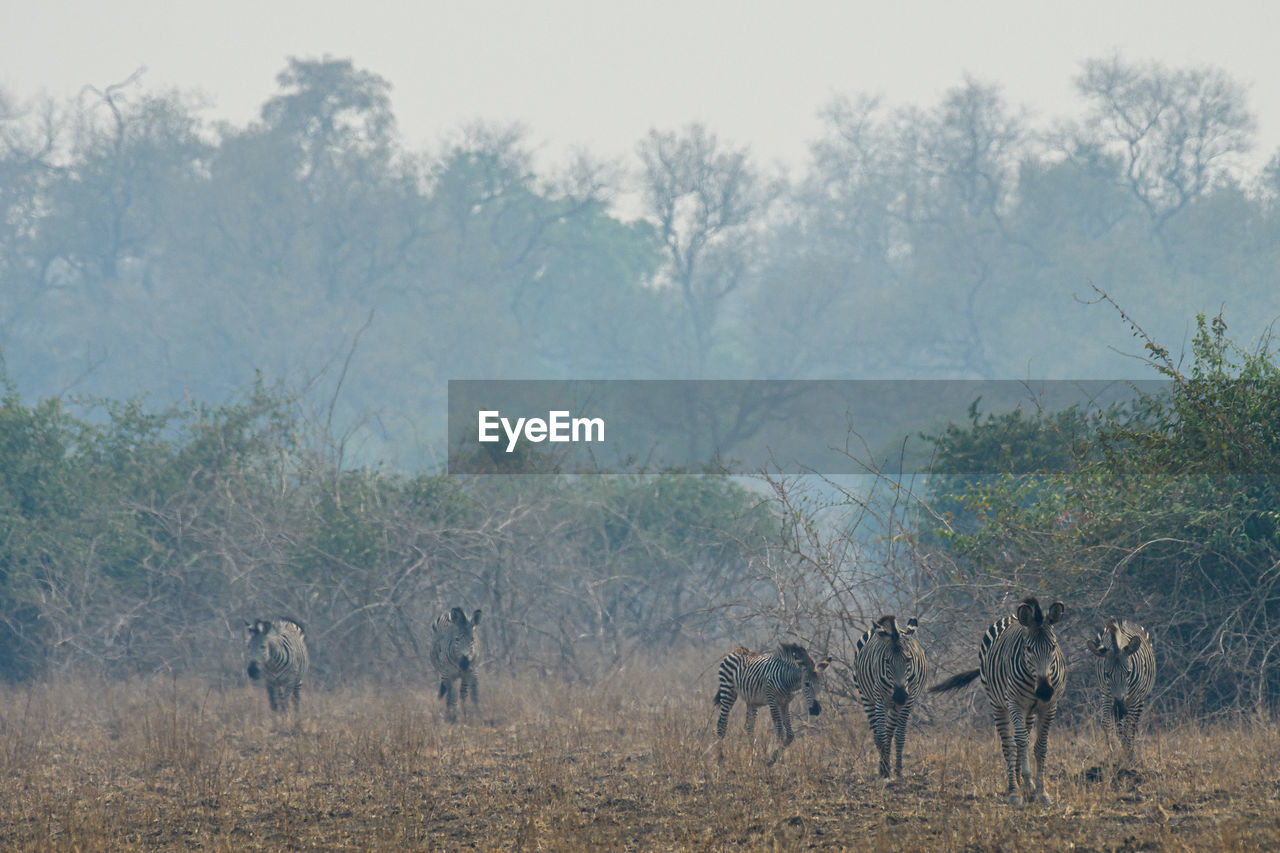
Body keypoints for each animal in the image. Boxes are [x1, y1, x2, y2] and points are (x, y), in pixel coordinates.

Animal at [855, 612, 926, 778]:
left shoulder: (909, 699)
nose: (899, 696)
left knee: (889, 732)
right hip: (867, 698)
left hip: (893, 706)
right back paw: (883, 767)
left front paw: (898, 771)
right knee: (878, 733)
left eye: (908, 659)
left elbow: (899, 735)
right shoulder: (880, 697)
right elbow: (880, 735)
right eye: (887, 661)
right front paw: (885, 771)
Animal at [931, 594, 1070, 799]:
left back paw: (1022, 783)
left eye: (1053, 646)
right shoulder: (1015, 703)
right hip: (998, 704)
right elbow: (1020, 741)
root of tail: (1010, 616)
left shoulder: (1050, 705)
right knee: (1009, 744)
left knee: (1022, 738)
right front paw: (1027, 783)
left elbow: (1040, 745)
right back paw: (1014, 790)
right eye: (1028, 649)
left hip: (1029, 711)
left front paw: (1040, 790)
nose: (1044, 691)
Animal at [1085, 614, 1157, 758]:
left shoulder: (1134, 697)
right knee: (1121, 725)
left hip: (1139, 699)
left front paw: (1129, 754)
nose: (1119, 707)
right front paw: (1114, 752)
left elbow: (1129, 726)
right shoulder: (1106, 693)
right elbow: (1106, 723)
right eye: (1107, 674)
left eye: (1128, 672)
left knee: (1131, 724)